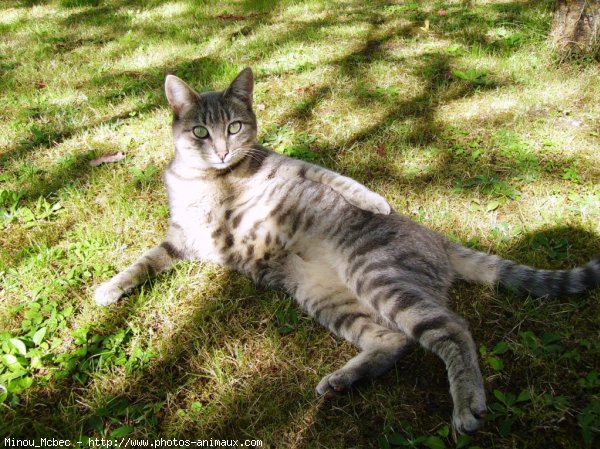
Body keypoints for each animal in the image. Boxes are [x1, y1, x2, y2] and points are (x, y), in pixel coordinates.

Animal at [94, 67, 600, 434]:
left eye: (234, 127)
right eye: (200, 132)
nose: (220, 151)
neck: (213, 179)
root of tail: (437, 238)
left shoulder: (293, 165)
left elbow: (339, 178)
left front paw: (372, 201)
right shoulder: (181, 238)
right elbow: (143, 261)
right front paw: (111, 288)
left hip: (377, 277)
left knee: (453, 328)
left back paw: (467, 404)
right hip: (327, 298)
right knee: (394, 340)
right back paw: (343, 381)